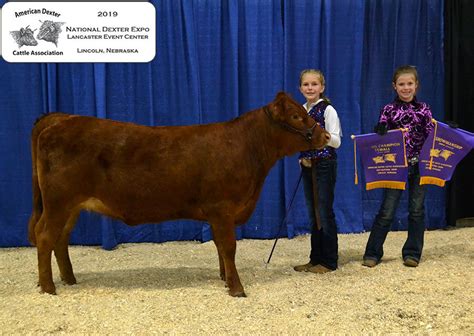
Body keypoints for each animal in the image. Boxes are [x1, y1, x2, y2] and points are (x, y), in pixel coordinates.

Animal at [26, 91, 330, 296]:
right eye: (296, 116)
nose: (326, 137)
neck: (247, 148)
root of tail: (60, 118)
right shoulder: (222, 209)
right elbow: (229, 247)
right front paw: (237, 288)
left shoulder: (218, 214)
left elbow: (220, 247)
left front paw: (224, 278)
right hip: (58, 202)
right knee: (45, 237)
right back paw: (49, 288)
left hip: (71, 206)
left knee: (60, 239)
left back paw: (67, 279)